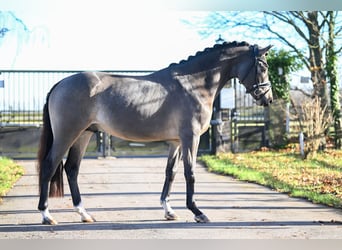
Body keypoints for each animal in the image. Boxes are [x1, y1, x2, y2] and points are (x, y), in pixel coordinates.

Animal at [36, 41, 272, 225]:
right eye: (263, 66)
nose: (268, 99)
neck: (193, 85)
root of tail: (61, 83)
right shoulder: (190, 138)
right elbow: (190, 173)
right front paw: (197, 212)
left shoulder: (176, 142)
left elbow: (171, 173)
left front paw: (169, 211)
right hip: (68, 134)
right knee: (49, 166)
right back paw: (46, 215)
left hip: (83, 135)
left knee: (72, 169)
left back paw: (84, 214)